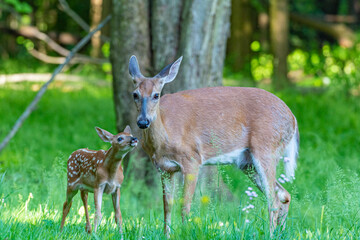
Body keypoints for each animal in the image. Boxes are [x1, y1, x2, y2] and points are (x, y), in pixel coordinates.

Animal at [128, 55, 300, 233]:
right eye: (135, 94)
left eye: (156, 95)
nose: (143, 121)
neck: (164, 137)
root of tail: (293, 119)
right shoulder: (164, 169)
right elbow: (167, 206)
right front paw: (167, 234)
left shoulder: (192, 159)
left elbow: (185, 206)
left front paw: (184, 232)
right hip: (247, 163)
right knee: (283, 194)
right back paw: (280, 232)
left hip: (266, 147)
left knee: (273, 200)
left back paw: (270, 233)